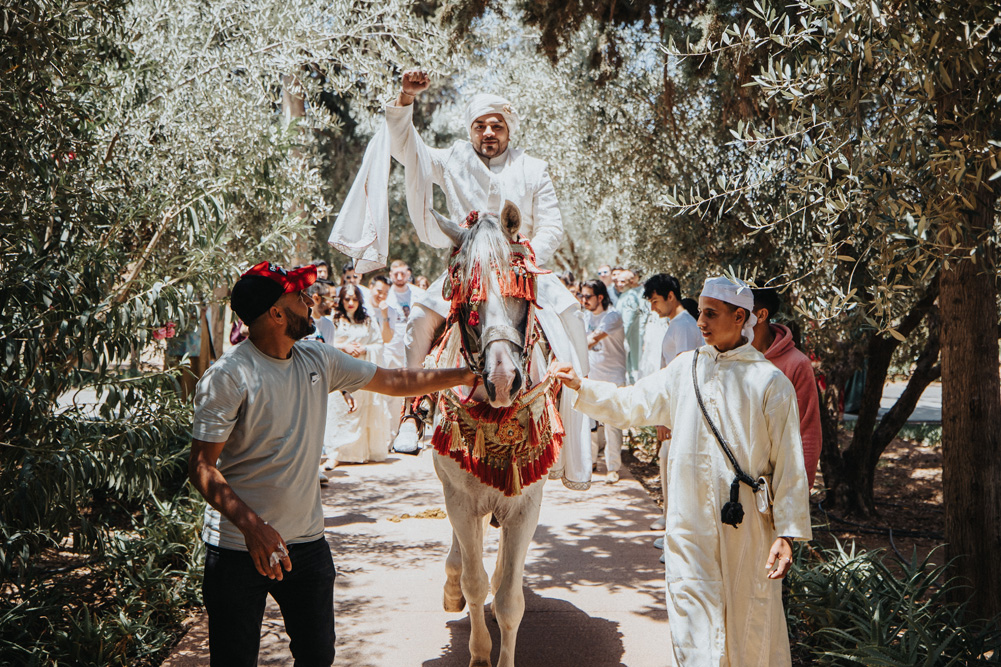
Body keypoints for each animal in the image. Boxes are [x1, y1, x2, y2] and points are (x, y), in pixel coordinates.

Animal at [422, 200, 564, 660]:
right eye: (463, 289)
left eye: (520, 285)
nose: (502, 380)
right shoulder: (460, 498)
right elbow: (474, 582)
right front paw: (479, 652)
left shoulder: (524, 504)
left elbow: (508, 600)